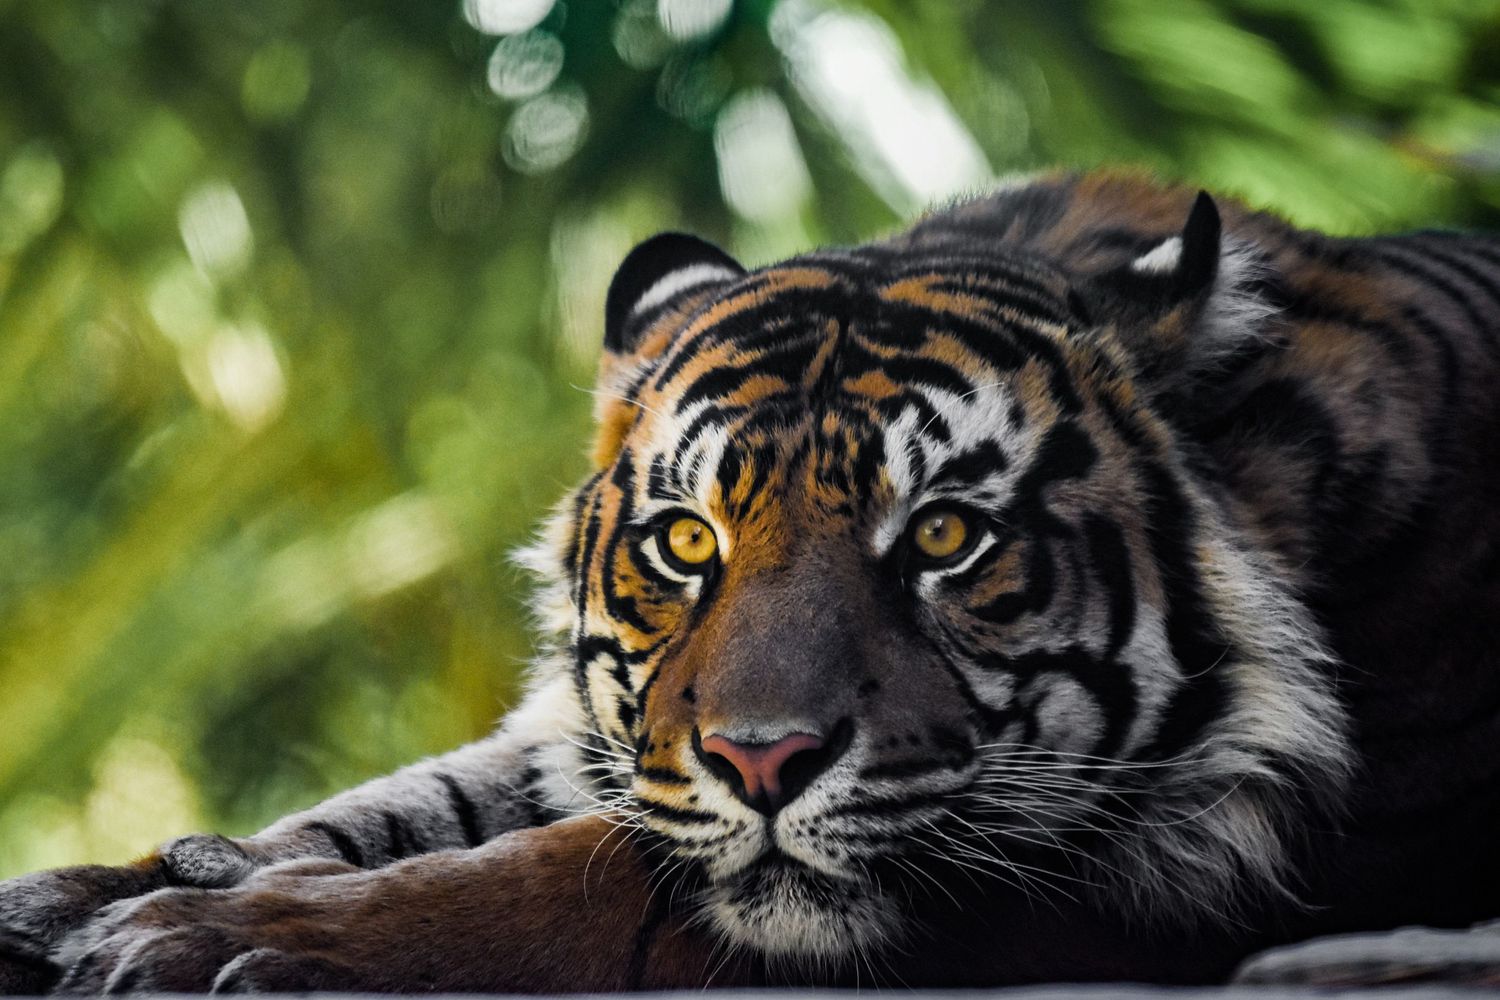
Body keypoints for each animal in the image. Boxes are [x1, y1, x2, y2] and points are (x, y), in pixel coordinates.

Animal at [3, 170, 1499, 993]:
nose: (762, 762)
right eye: (686, 543)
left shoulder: (1122, 875)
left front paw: (206, 942)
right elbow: (407, 802)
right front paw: (93, 895)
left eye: (943, 538)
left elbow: (590, 882)